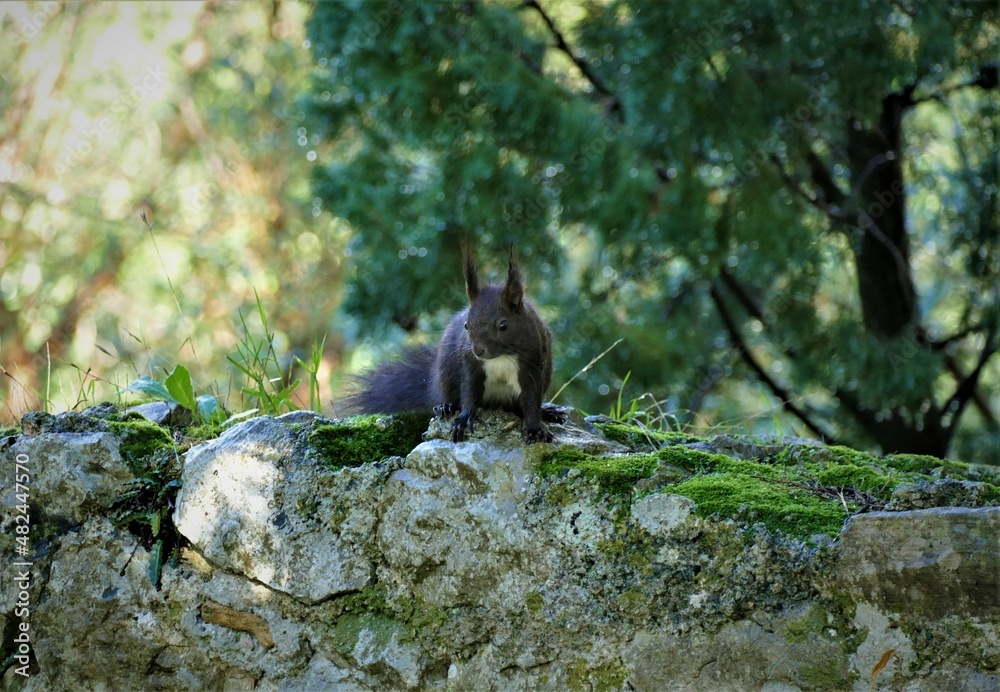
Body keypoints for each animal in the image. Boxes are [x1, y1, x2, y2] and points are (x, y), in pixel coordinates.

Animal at [343, 248, 560, 443]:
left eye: (503, 325)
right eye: (466, 325)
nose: (478, 350)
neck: (501, 356)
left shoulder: (532, 361)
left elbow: (530, 399)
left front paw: (535, 429)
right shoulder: (470, 364)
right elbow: (469, 392)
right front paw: (463, 419)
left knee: (517, 407)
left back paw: (548, 412)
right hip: (446, 375)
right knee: (450, 395)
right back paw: (445, 407)